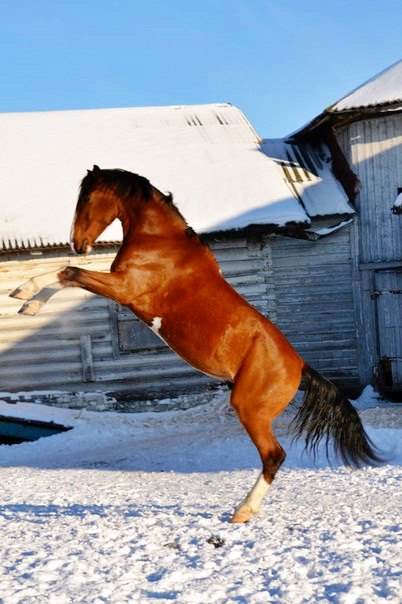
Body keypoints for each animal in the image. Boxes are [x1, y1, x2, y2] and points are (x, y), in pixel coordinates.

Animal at [10, 166, 380, 524]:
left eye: (86, 198)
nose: (77, 243)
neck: (162, 242)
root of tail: (300, 366)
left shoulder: (125, 290)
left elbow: (68, 272)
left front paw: (24, 291)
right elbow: (70, 275)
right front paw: (29, 305)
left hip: (249, 409)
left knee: (274, 456)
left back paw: (242, 512)